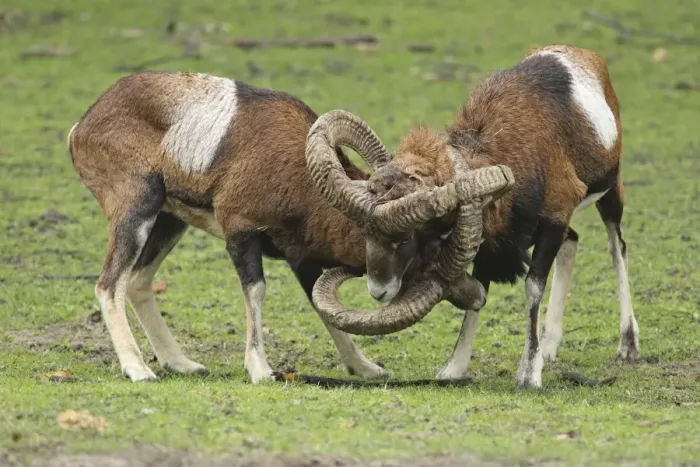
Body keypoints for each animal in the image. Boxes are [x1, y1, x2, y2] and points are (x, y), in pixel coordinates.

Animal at [67, 71, 512, 383]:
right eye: (407, 240)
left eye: (439, 235)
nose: (475, 294)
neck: (292, 173)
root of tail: (82, 126)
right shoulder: (241, 235)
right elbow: (256, 294)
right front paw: (261, 371)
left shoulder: (302, 259)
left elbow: (323, 309)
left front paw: (366, 369)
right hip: (137, 212)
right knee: (109, 284)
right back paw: (139, 371)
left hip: (168, 222)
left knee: (138, 282)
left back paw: (183, 364)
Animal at [306, 44, 639, 389]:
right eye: (365, 232)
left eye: (408, 236)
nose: (378, 290)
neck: (519, 144)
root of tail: (584, 55)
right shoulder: (491, 239)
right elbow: (482, 288)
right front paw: (454, 368)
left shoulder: (554, 219)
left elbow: (533, 288)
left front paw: (529, 375)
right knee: (573, 242)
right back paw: (550, 347)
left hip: (611, 193)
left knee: (617, 248)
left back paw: (627, 346)